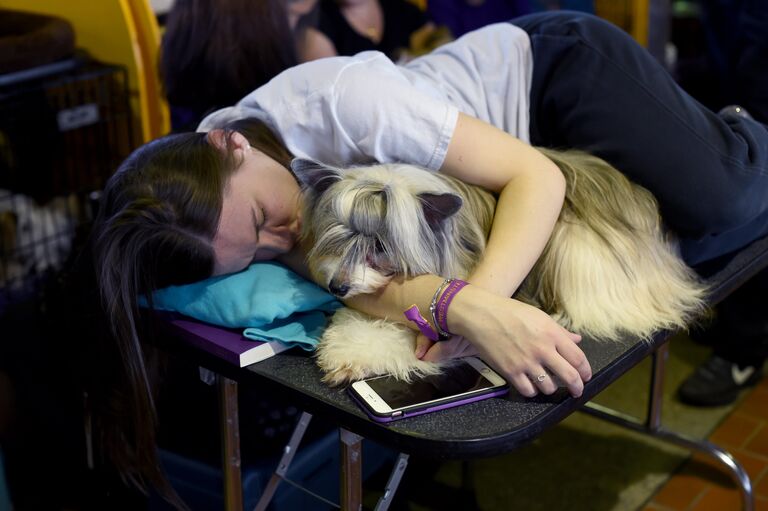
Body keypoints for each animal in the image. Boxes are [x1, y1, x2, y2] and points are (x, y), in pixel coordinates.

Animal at [290, 150, 708, 386]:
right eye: (335, 237)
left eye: (378, 246)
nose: (337, 287)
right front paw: (344, 351)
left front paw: (354, 359)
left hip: (577, 250)